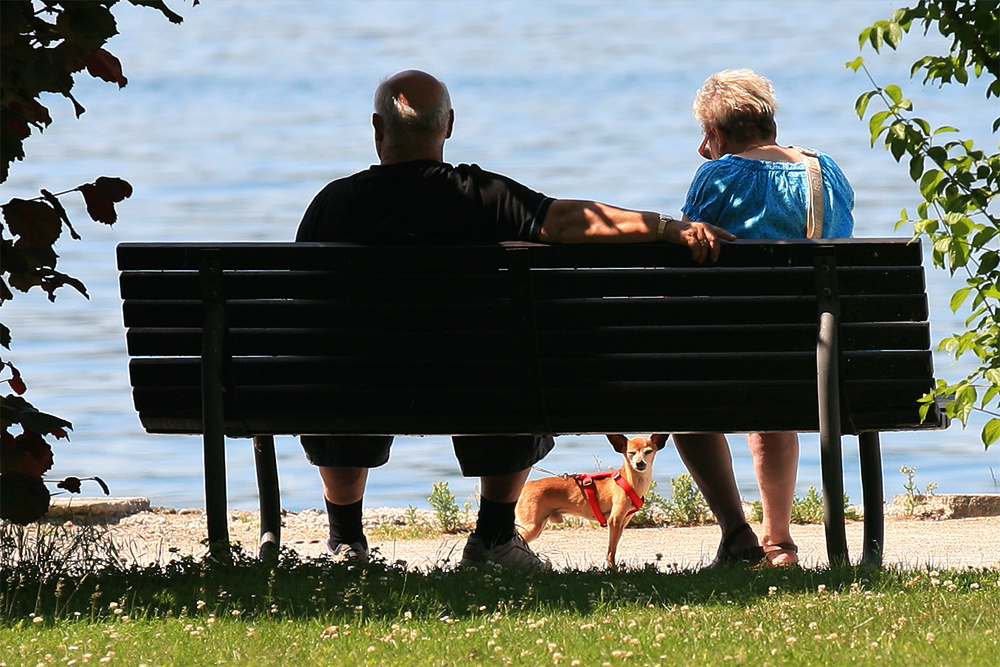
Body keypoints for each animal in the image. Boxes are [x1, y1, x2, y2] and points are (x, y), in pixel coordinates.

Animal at [516, 436, 672, 572]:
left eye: (648, 451)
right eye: (631, 453)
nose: (640, 463)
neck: (630, 482)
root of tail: (525, 485)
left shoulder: (622, 524)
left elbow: (613, 548)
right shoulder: (614, 521)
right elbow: (611, 551)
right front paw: (613, 569)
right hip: (532, 527)